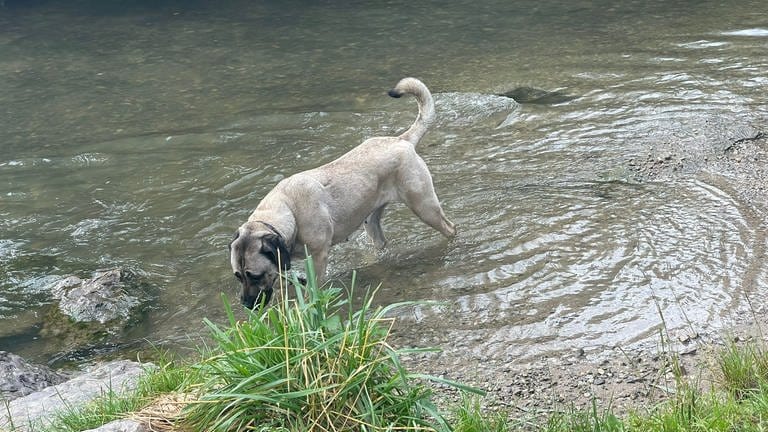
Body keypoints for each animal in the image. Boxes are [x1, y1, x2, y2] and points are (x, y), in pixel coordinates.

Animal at [228, 77, 456, 308]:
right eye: (238, 275)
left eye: (255, 275)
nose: (246, 304)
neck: (289, 211)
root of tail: (402, 140)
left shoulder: (318, 256)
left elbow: (313, 288)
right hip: (371, 221)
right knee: (381, 242)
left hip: (424, 206)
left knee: (450, 228)